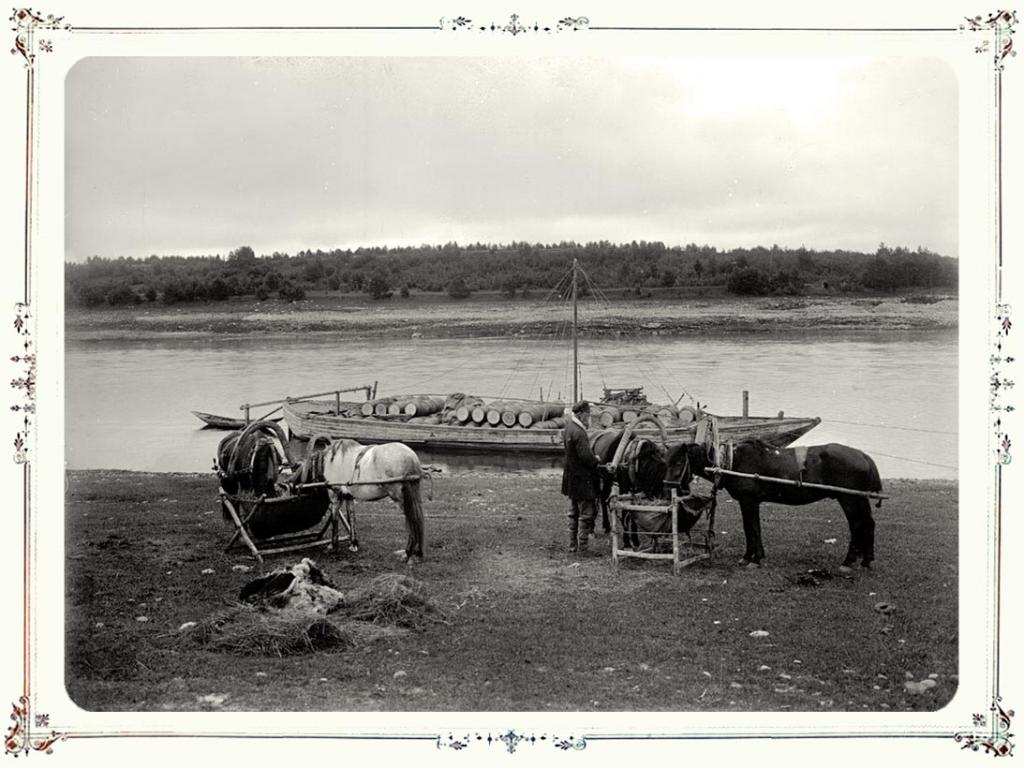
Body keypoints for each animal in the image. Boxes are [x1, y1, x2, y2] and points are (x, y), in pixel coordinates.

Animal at [667, 438, 884, 573]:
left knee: (857, 525)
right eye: (667, 461)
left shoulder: (749, 501)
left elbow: (752, 528)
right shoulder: (750, 502)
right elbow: (752, 528)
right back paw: (867, 559)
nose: (668, 485)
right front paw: (752, 556)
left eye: (678, 463)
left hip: (848, 499)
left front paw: (753, 559)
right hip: (859, 499)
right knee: (868, 524)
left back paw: (849, 561)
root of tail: (863, 456)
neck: (733, 461)